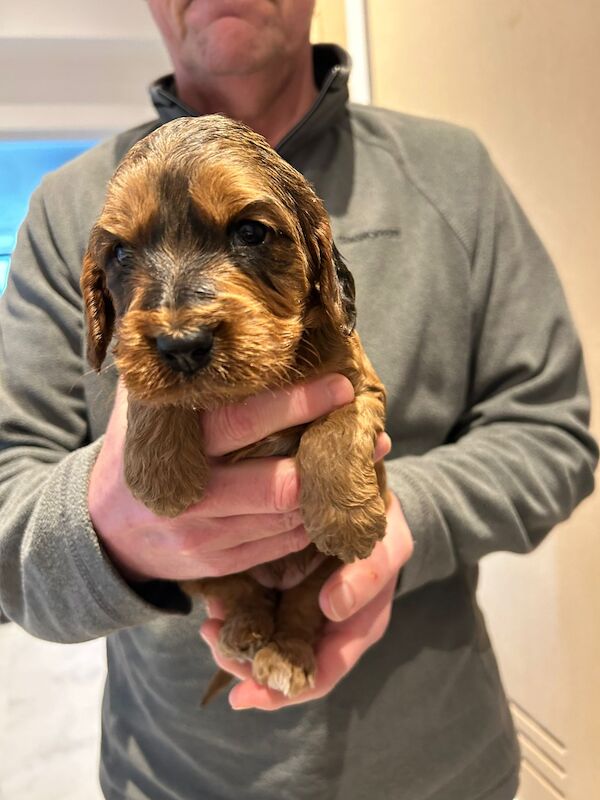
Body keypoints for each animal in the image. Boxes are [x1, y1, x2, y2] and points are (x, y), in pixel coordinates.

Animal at [81, 115, 390, 696]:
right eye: (121, 254)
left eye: (250, 232)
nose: (182, 344)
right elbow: (149, 392)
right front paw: (162, 476)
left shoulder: (362, 383)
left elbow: (337, 428)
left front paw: (346, 518)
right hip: (204, 570)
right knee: (240, 594)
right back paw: (245, 632)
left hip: (318, 575)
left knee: (301, 607)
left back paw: (286, 655)